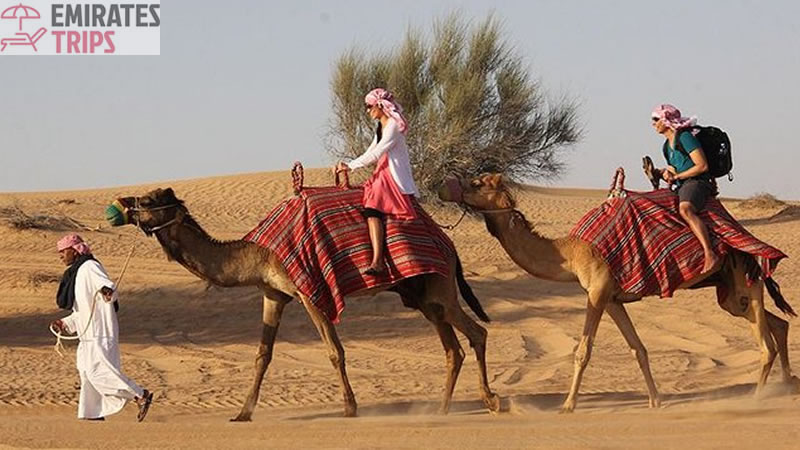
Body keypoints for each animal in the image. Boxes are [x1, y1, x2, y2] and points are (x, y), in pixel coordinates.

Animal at [112, 188, 500, 420]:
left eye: (148, 201)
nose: (121, 203)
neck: (258, 253)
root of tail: (448, 244)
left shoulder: (309, 291)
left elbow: (334, 351)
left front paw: (350, 407)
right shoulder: (274, 294)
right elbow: (263, 354)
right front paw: (242, 413)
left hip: (439, 287)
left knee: (477, 333)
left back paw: (491, 400)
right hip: (421, 295)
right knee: (453, 348)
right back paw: (440, 409)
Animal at [440, 174, 796, 414]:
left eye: (477, 182)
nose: (445, 186)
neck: (570, 252)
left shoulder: (596, 292)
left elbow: (583, 350)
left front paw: (568, 405)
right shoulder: (612, 299)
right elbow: (638, 348)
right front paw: (655, 400)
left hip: (746, 278)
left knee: (765, 344)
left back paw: (756, 398)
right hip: (731, 294)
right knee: (777, 324)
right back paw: (788, 383)